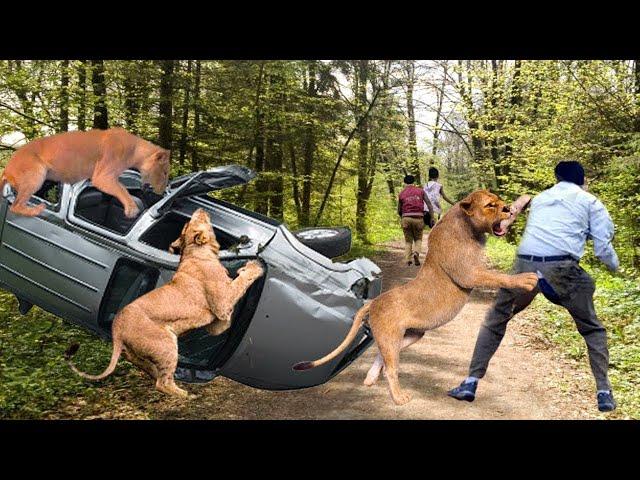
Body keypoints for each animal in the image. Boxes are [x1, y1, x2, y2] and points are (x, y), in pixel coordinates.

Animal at [65, 208, 262, 396]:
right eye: (191, 222)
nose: (199, 209)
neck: (195, 252)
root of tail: (116, 328)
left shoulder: (215, 323)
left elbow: (227, 319)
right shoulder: (221, 304)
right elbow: (239, 284)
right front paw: (254, 267)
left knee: (142, 365)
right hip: (166, 342)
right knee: (162, 383)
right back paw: (185, 395)